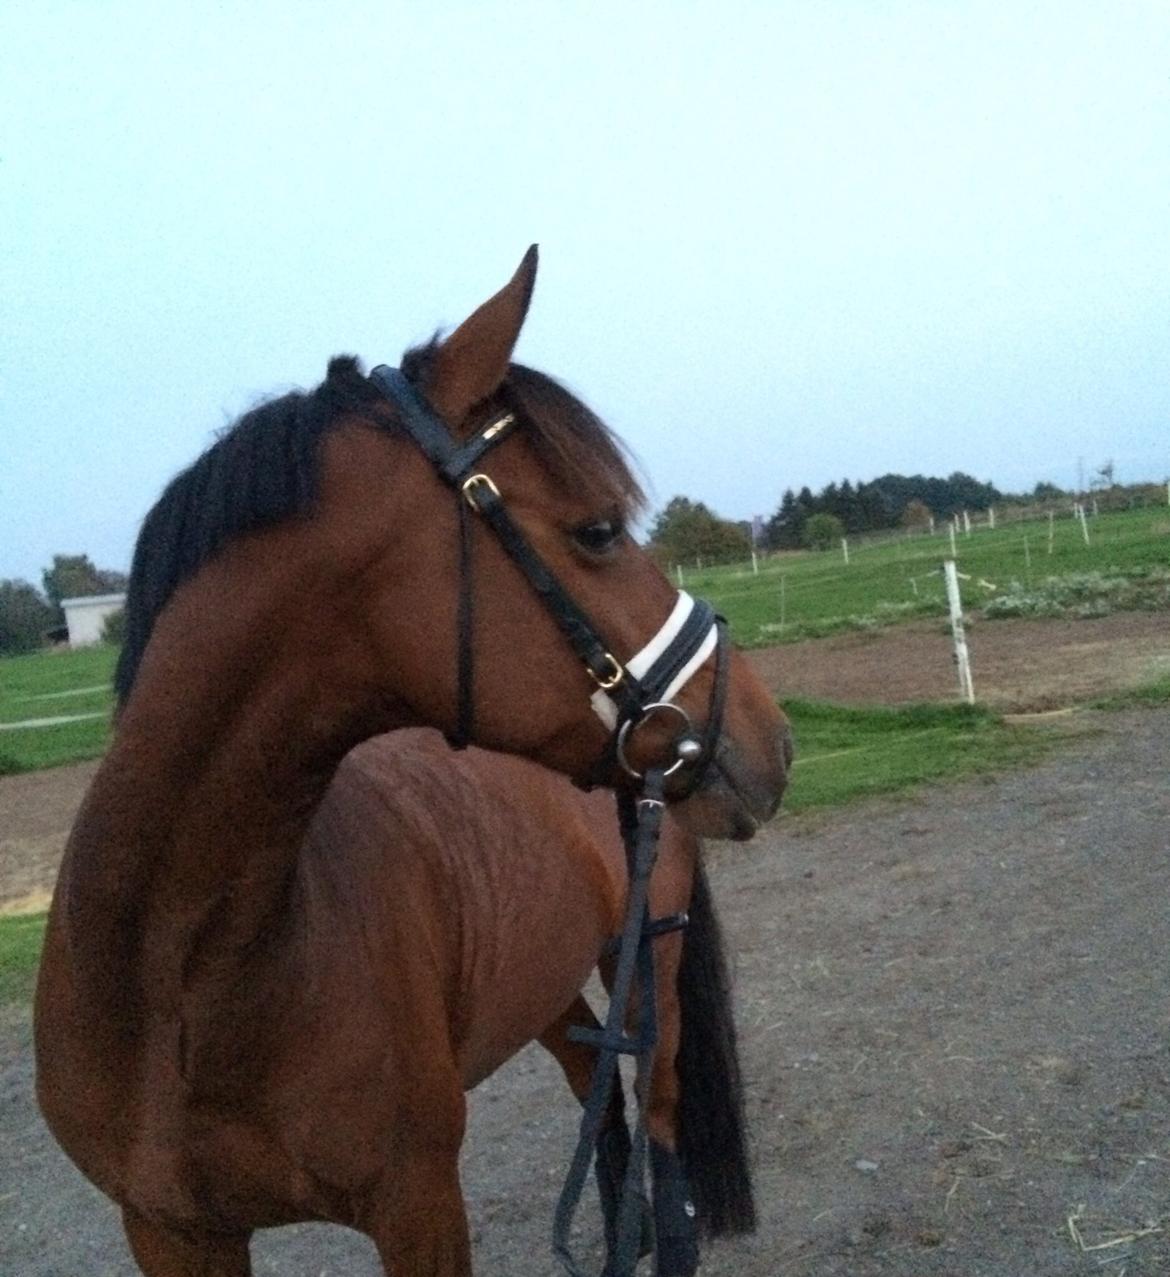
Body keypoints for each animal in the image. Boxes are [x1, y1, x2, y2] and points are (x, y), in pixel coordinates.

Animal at [35, 247, 790, 1274]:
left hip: (653, 965)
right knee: (598, 1094)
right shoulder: (169, 1229)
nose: (768, 736)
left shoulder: (417, 1203)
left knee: (662, 1139)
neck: (174, 983)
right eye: (597, 530)